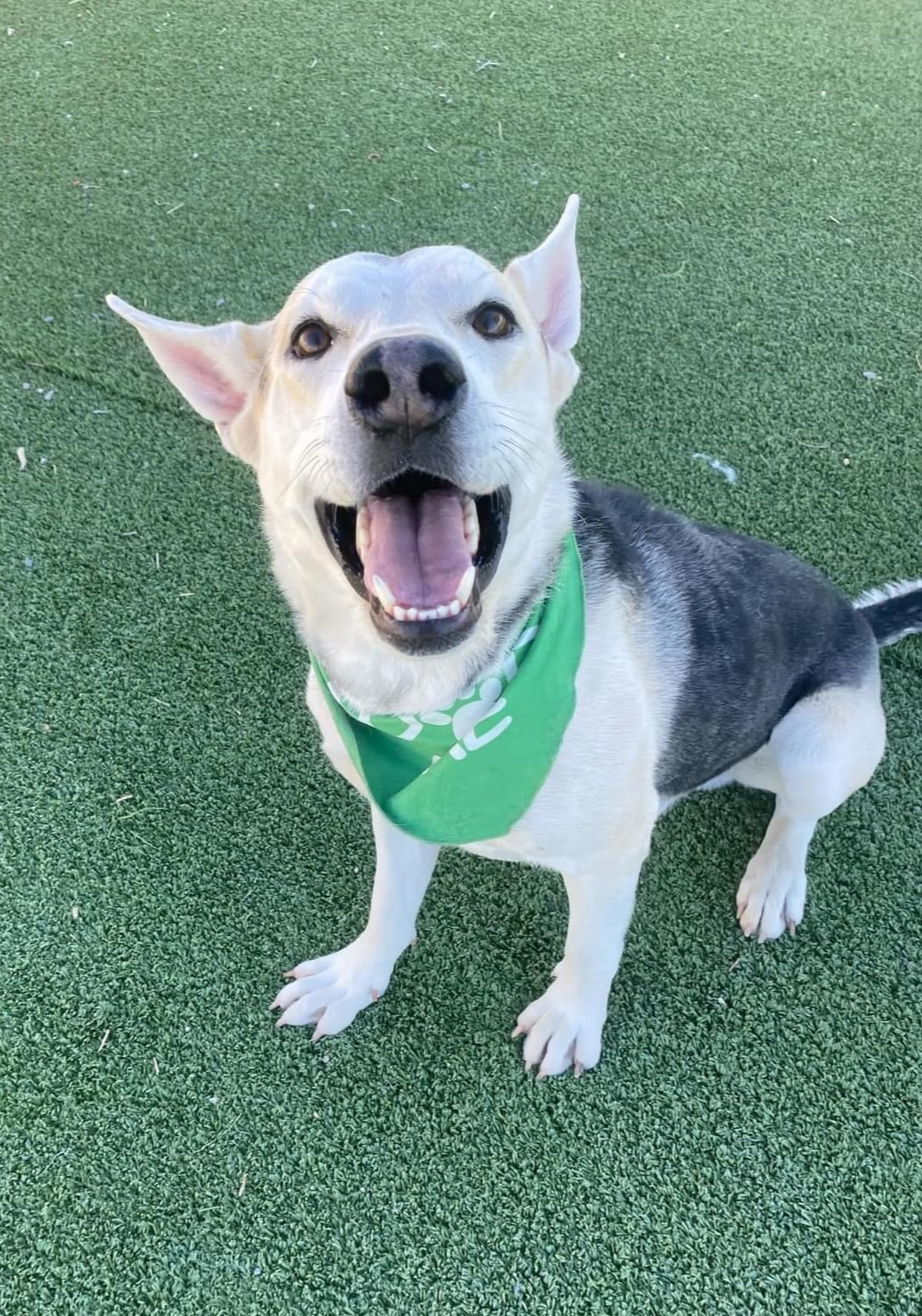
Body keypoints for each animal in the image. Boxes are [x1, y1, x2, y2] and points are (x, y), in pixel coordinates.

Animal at [109, 197, 920, 1079]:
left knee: (798, 816)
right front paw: (358, 977)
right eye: (311, 338)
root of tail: (858, 620)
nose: (403, 380)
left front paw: (570, 1018)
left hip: (821, 734)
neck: (443, 698)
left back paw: (774, 878)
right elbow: (389, 908)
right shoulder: (397, 810)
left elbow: (592, 949)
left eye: (494, 319)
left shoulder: (609, 858)